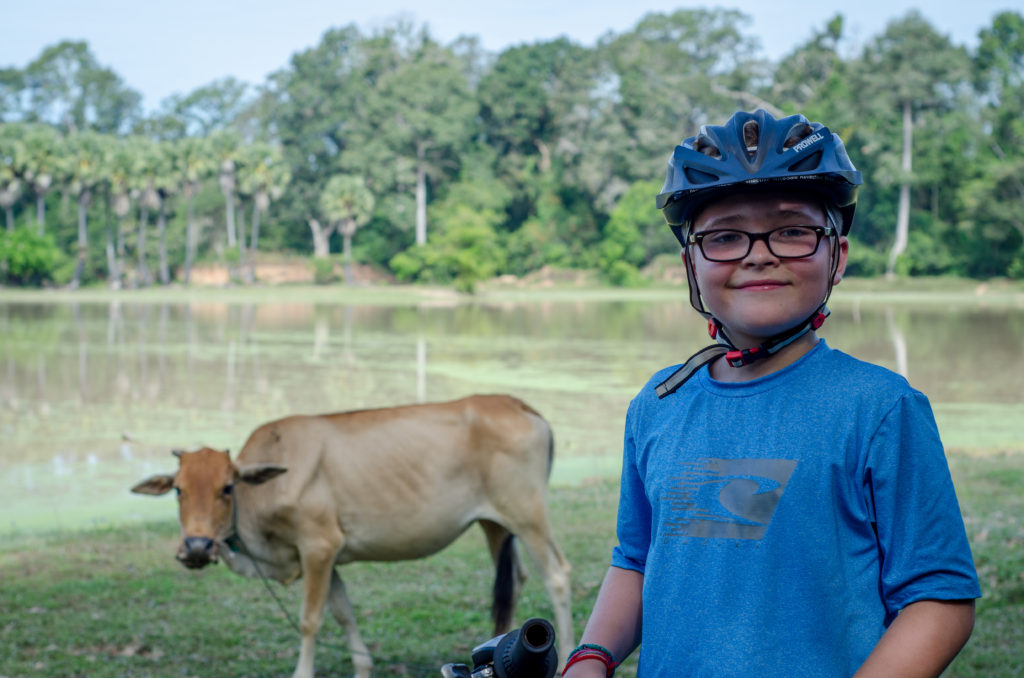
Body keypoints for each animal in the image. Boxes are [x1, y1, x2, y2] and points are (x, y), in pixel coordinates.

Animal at [129, 393, 573, 678]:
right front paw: (362, 667)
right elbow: (343, 611)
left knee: (557, 575)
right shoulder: (329, 557)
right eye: (178, 490)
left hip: (528, 515)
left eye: (226, 487)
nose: (196, 546)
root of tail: (519, 404)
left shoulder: (318, 546)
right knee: (515, 581)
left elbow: (310, 620)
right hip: (495, 524)